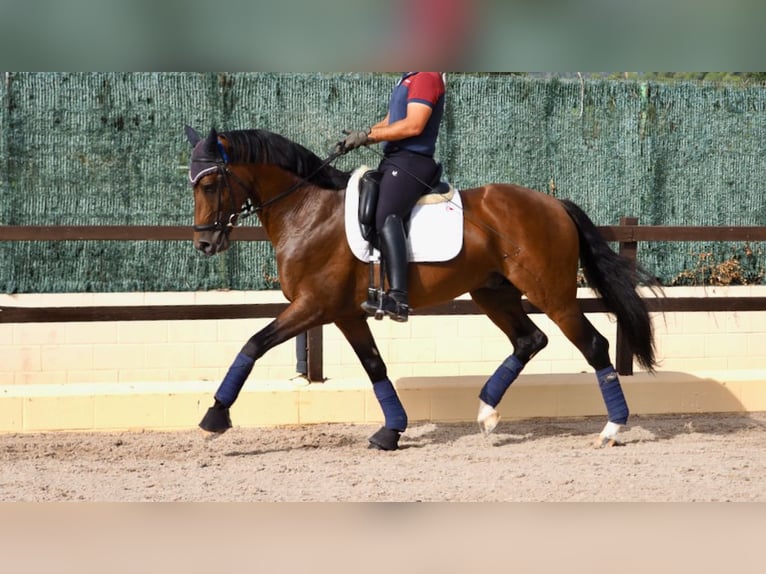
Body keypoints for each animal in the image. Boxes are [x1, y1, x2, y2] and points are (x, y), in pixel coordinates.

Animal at [183, 125, 656, 450]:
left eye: (209, 183)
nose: (204, 244)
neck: (307, 210)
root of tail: (554, 203)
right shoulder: (344, 312)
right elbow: (375, 366)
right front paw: (391, 432)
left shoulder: (312, 306)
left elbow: (253, 343)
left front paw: (214, 416)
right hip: (493, 292)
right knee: (529, 340)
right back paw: (487, 412)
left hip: (552, 295)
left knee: (592, 345)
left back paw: (612, 428)